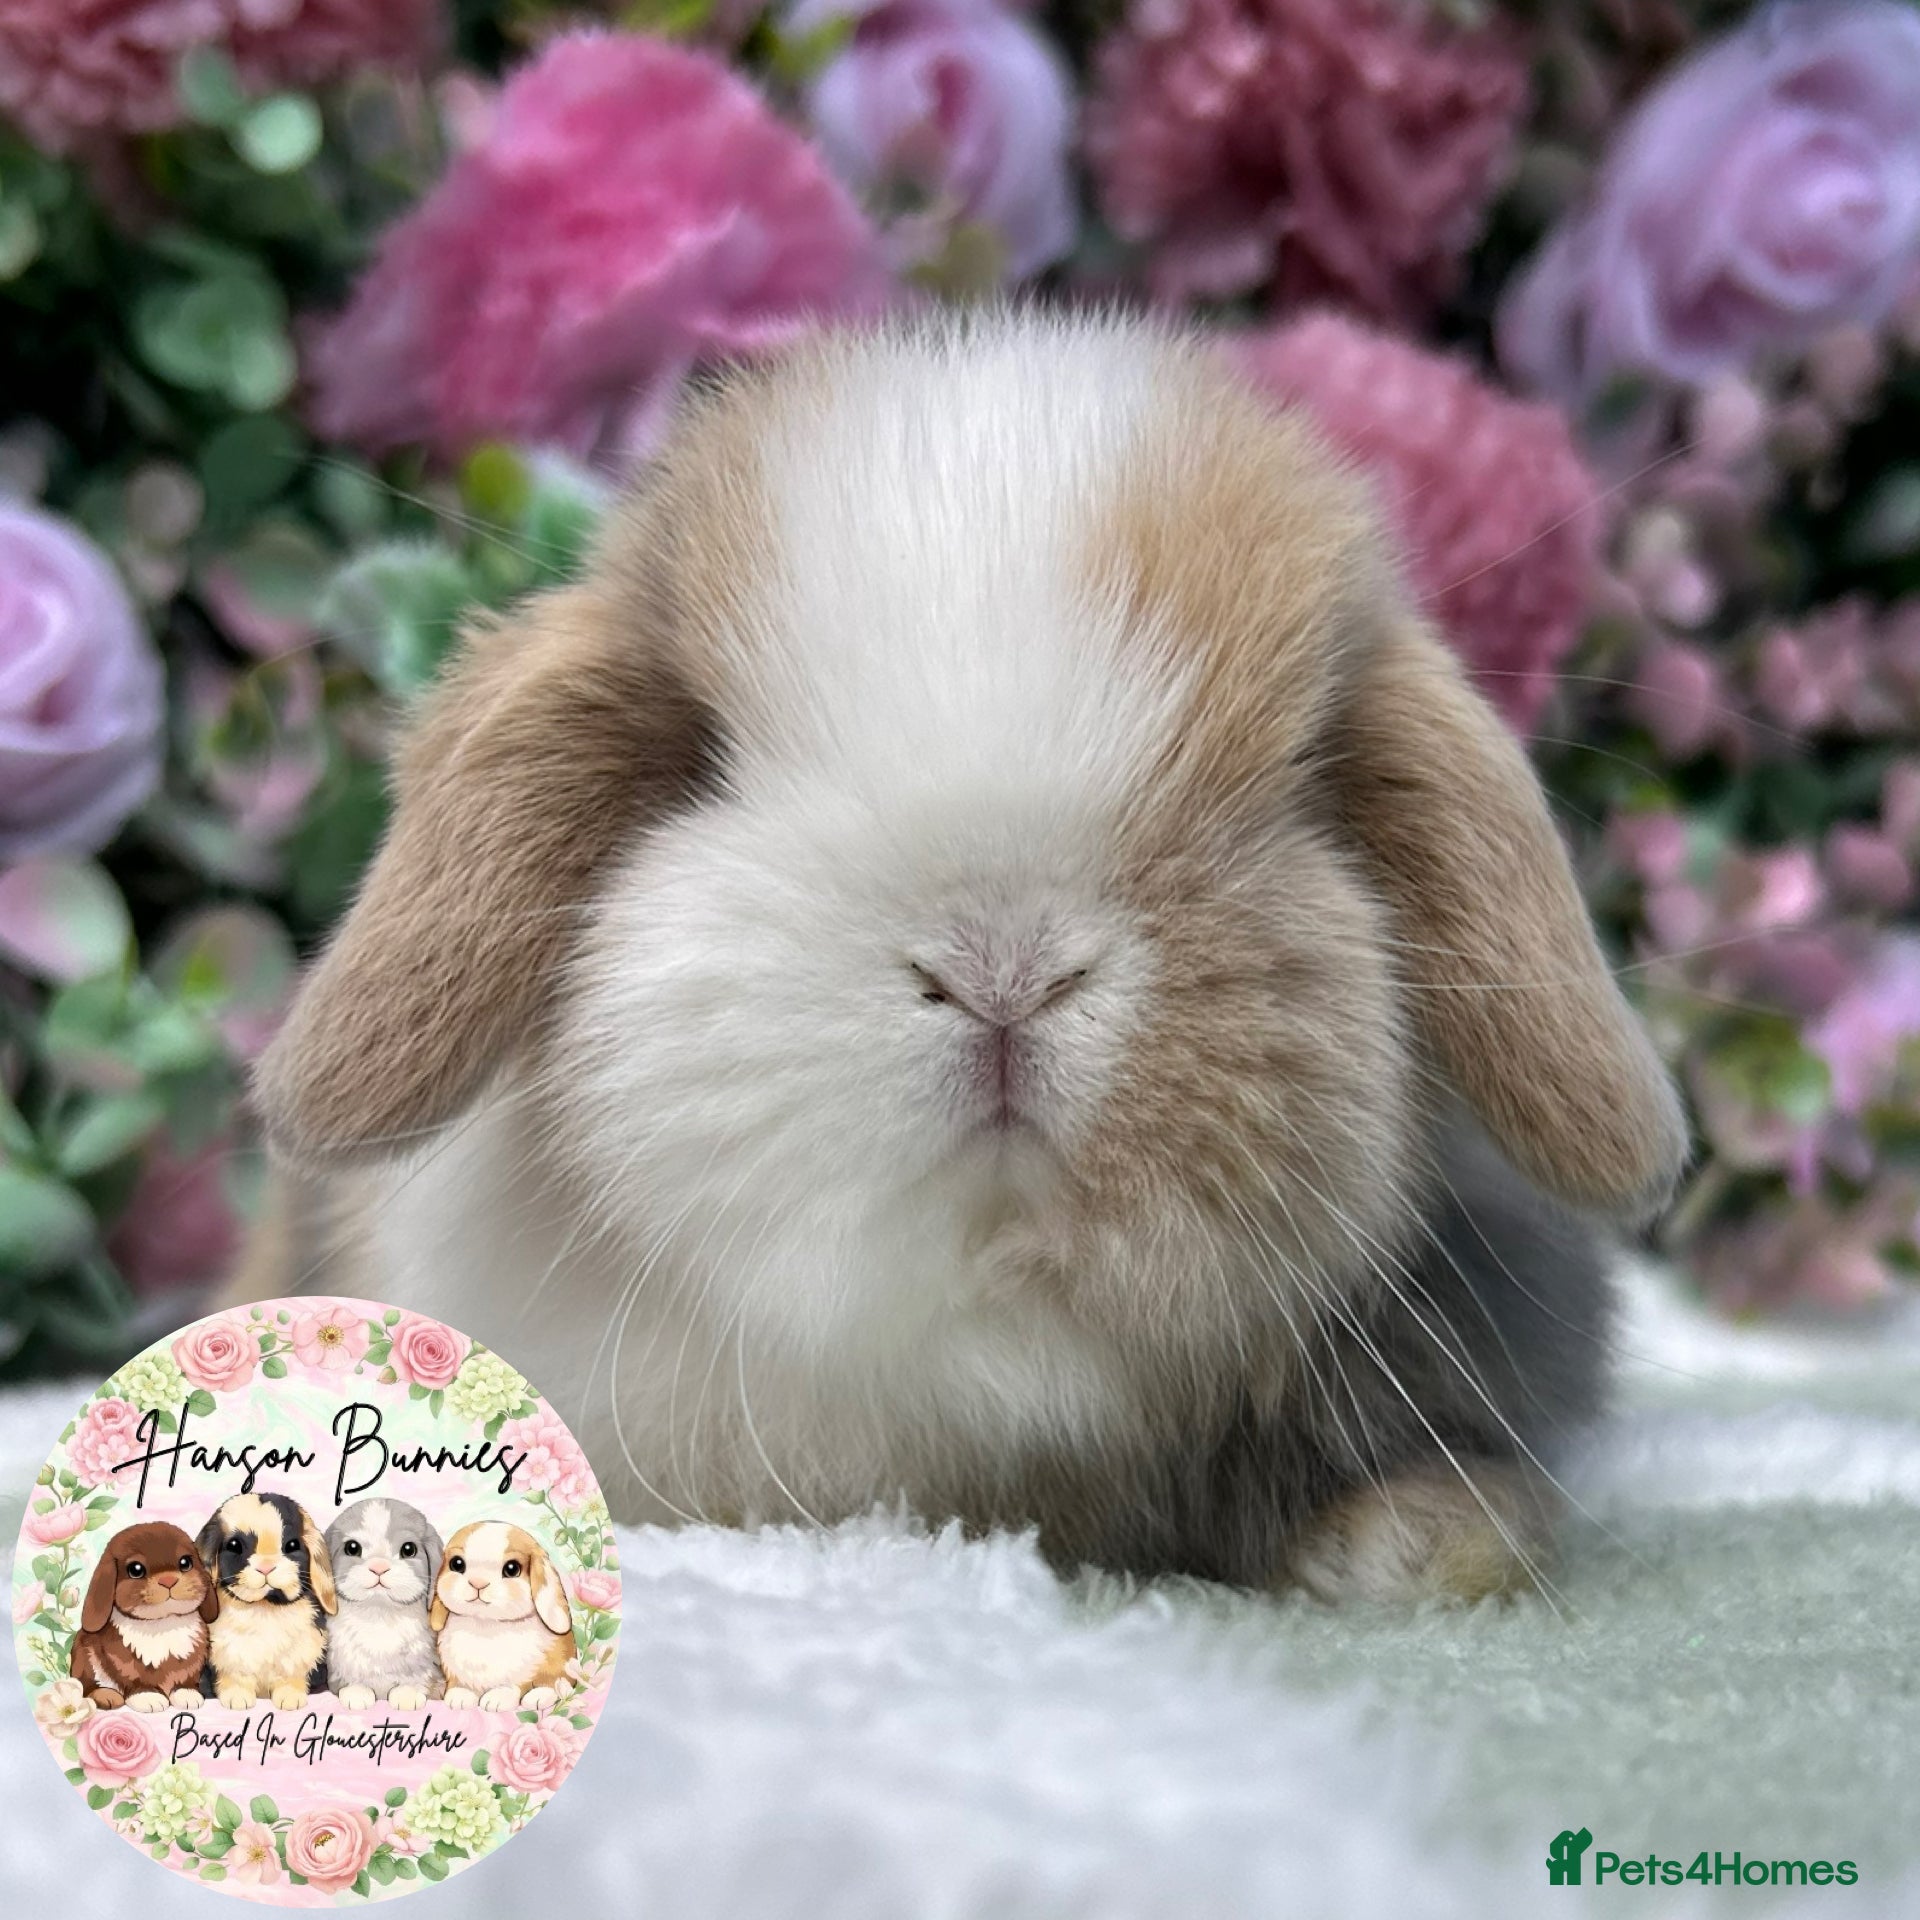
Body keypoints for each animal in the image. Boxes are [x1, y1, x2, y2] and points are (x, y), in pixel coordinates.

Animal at [70, 1522, 219, 1711]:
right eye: (136, 1569)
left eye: (185, 1562)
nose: (168, 1580)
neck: (163, 1623)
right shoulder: (126, 1666)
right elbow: (136, 1680)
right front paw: (149, 1698)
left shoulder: (192, 1662)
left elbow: (185, 1678)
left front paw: (187, 1695)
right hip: (84, 1657)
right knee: (86, 1685)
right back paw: (107, 1696)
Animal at [197, 1491, 335, 1709]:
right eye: (235, 1545)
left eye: (292, 1545)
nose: (266, 1567)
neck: (265, 1607)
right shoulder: (228, 1658)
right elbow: (234, 1677)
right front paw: (237, 1699)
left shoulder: (300, 1655)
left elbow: (291, 1676)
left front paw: (290, 1699)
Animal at [323, 1498, 445, 1709]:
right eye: (352, 1548)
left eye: (408, 1549)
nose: (379, 1566)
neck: (379, 1614)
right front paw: (357, 1692)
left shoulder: (425, 1661)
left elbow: (418, 1677)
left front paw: (407, 1694)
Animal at [430, 1522, 574, 1711]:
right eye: (457, 1564)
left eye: (512, 1569)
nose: (478, 1583)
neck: (485, 1624)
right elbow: (460, 1685)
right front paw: (460, 1697)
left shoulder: (522, 1673)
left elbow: (512, 1685)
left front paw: (496, 1699)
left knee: (557, 1683)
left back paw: (537, 1697)